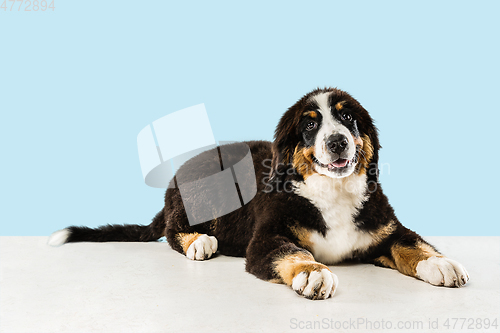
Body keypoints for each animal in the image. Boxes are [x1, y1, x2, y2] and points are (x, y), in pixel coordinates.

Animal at [48, 87, 470, 298]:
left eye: (348, 117)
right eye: (309, 125)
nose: (337, 142)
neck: (332, 193)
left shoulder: (384, 228)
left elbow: (412, 243)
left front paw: (440, 263)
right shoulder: (268, 237)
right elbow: (293, 253)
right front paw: (313, 273)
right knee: (171, 230)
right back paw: (200, 241)